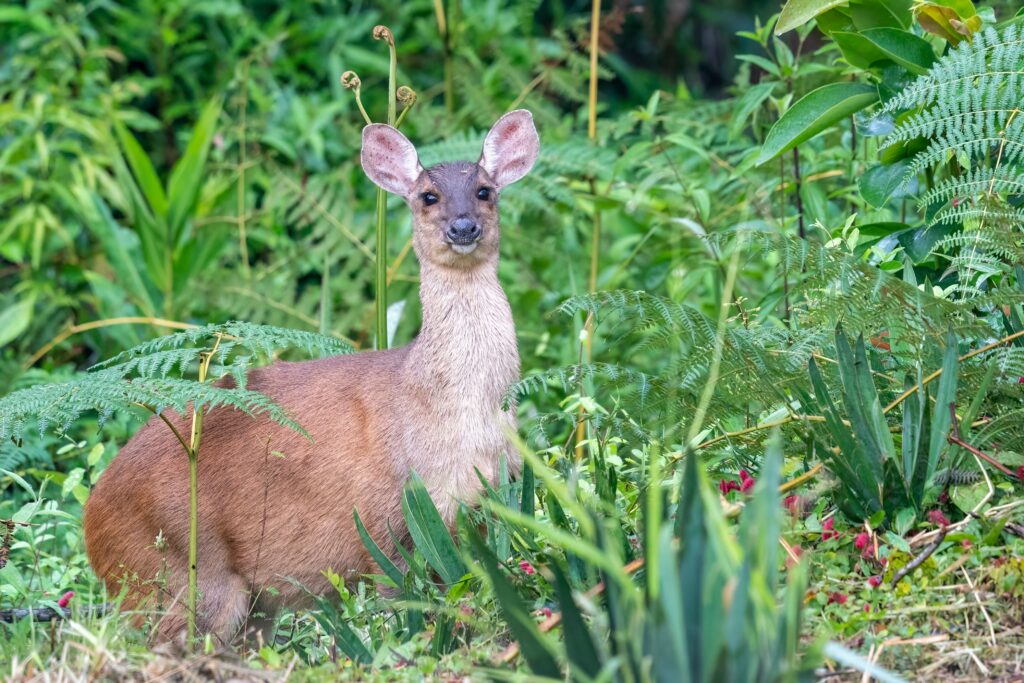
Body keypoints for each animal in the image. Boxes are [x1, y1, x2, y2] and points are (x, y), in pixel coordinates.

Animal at [83, 111, 540, 643]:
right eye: (428, 196)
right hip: (181, 576)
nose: (463, 226)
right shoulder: (383, 519)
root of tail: (90, 517)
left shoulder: (493, 502)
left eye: (485, 190)